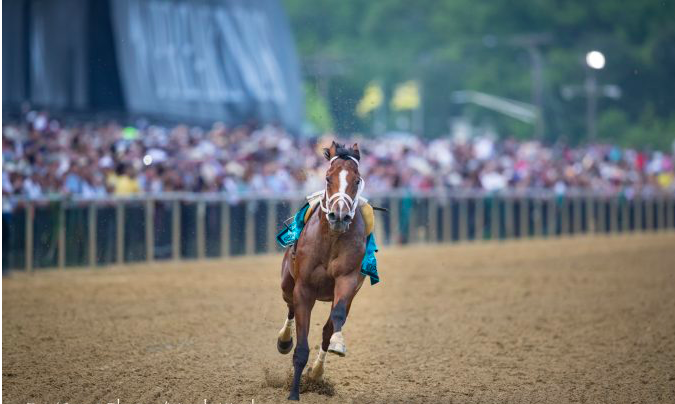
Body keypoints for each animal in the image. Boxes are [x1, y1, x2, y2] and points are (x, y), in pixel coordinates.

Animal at [277, 142, 368, 400]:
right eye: (328, 178)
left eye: (357, 180)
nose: (340, 215)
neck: (332, 239)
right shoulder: (304, 288)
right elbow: (301, 348)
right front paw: (294, 394)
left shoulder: (347, 280)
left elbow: (335, 320)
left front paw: (338, 344)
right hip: (287, 283)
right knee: (289, 306)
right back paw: (283, 340)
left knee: (328, 327)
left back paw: (317, 373)